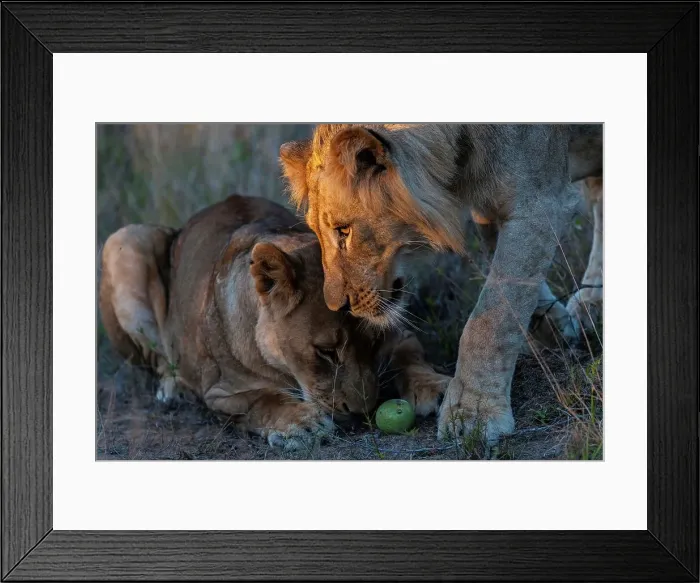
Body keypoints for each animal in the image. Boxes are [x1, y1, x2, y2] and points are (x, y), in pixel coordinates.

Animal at [99, 194, 448, 451]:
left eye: (375, 343)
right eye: (325, 351)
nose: (362, 412)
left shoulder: (399, 333)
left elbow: (409, 355)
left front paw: (435, 388)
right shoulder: (220, 391)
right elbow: (261, 399)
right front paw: (301, 424)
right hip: (125, 238)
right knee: (156, 360)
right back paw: (173, 389)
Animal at [279, 124, 603, 445]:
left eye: (344, 231)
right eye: (318, 233)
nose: (339, 306)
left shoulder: (541, 202)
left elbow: (492, 318)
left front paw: (472, 413)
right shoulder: (492, 204)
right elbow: (511, 284)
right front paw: (553, 326)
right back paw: (590, 305)